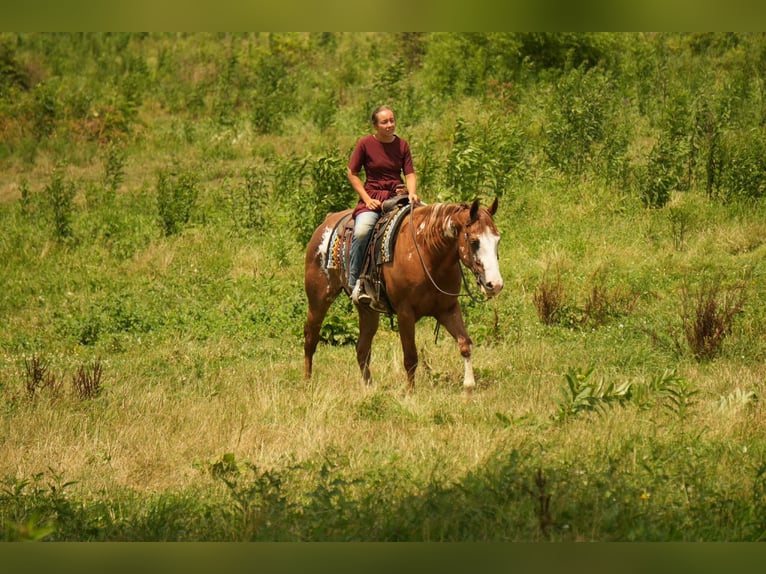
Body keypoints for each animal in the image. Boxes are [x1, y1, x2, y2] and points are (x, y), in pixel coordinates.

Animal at [303, 198, 503, 393]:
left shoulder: (448, 309)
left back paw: (368, 388)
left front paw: (469, 386)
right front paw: (410, 393)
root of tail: (327, 221)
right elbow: (410, 356)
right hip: (319, 299)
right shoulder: (405, 313)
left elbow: (465, 344)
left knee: (362, 348)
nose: (495, 284)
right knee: (311, 339)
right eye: (474, 242)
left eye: (497, 240)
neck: (427, 253)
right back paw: (308, 383)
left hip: (367, 310)